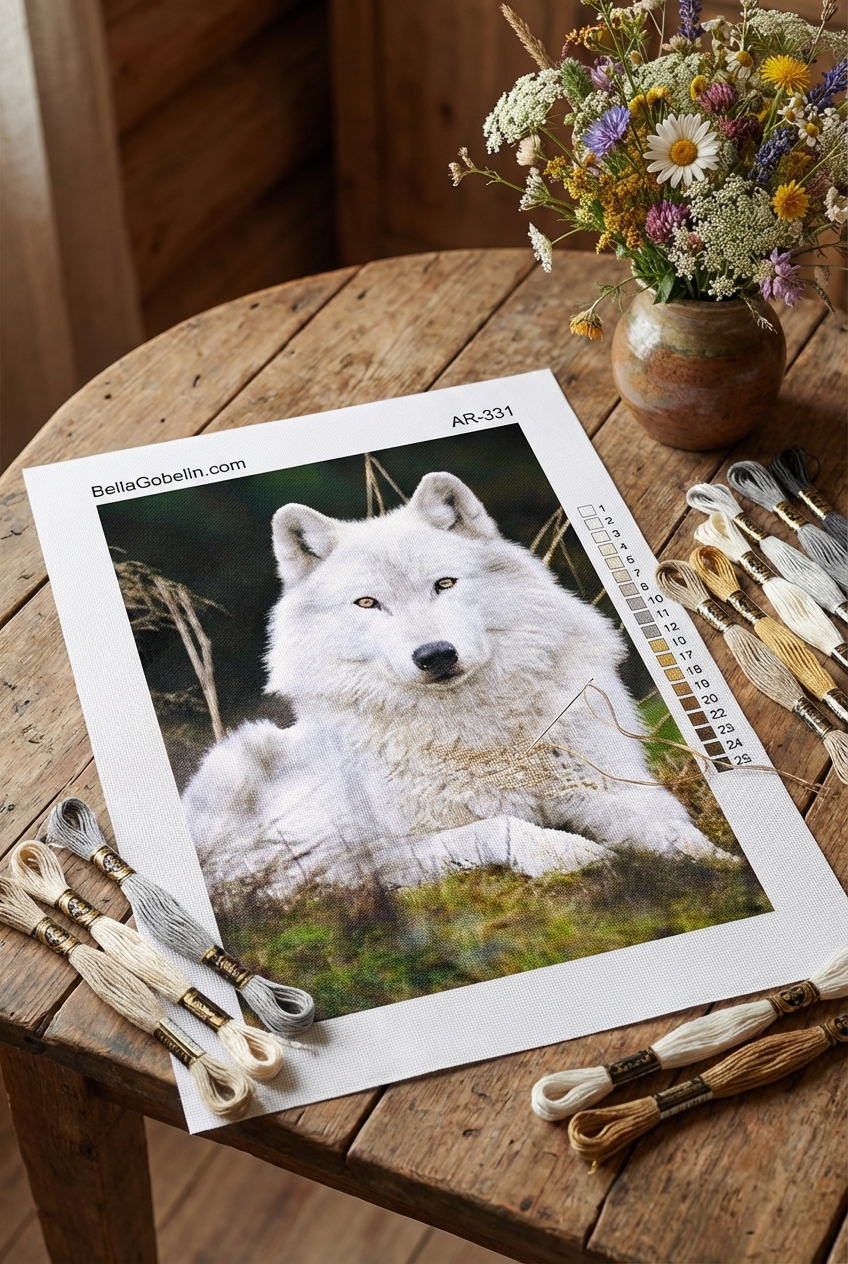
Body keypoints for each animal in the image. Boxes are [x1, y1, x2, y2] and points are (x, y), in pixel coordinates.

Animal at [183, 472, 725, 894]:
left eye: (444, 584)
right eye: (367, 603)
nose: (435, 655)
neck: (477, 737)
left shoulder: (604, 786)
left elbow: (662, 826)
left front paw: (711, 857)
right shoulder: (350, 861)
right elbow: (504, 826)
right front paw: (578, 855)